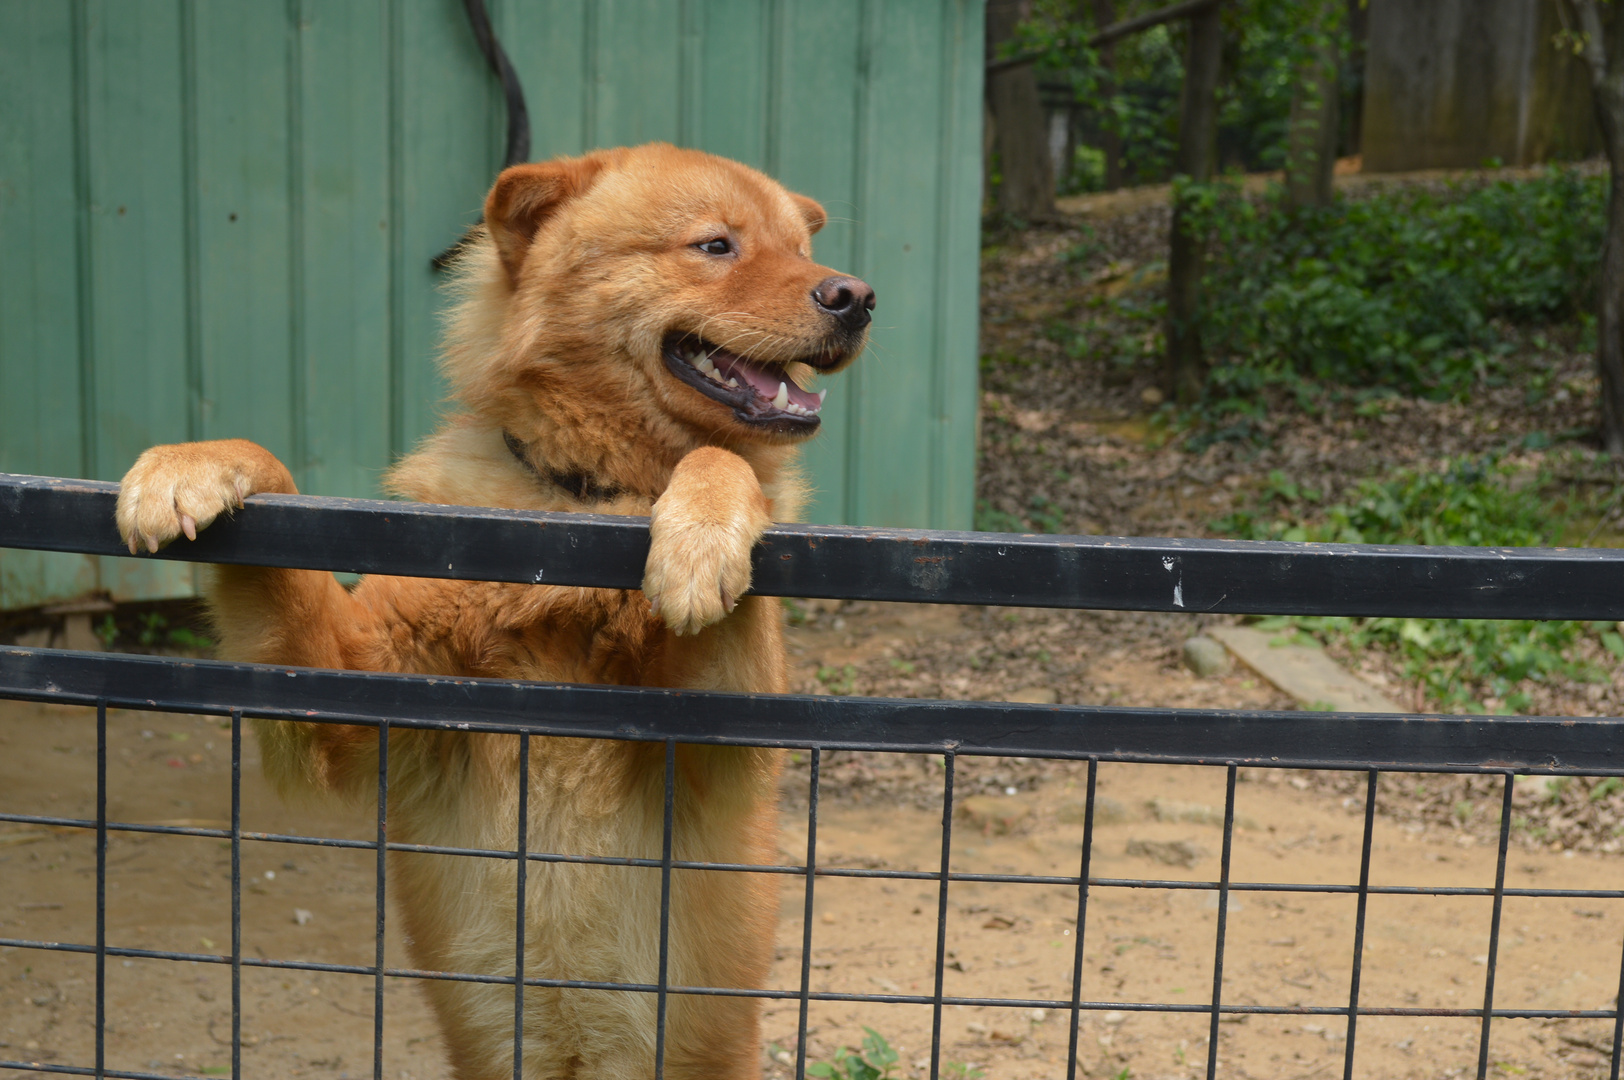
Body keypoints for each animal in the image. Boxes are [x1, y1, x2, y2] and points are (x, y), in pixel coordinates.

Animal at [116, 145, 876, 1078]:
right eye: (715, 245)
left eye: (799, 248)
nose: (856, 296)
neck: (577, 511)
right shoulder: (344, 694)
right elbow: (277, 500)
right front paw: (194, 464)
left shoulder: (713, 740)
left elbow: (714, 460)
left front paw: (700, 535)